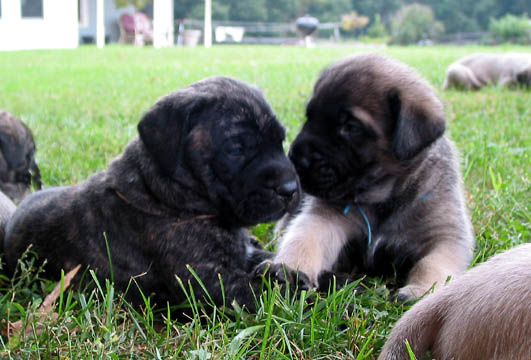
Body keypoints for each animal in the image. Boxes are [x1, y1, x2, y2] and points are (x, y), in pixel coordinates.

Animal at [4, 76, 302, 312]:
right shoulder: (214, 281)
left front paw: (291, 273)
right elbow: (266, 294)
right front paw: (303, 293)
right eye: (237, 149)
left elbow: (267, 260)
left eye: (280, 140)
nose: (290, 188)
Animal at [264, 53, 476, 300]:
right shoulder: (327, 217)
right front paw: (289, 268)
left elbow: (432, 264)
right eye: (310, 117)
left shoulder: (446, 236)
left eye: (350, 127)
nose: (295, 159)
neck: (384, 200)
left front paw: (422, 290)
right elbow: (305, 238)